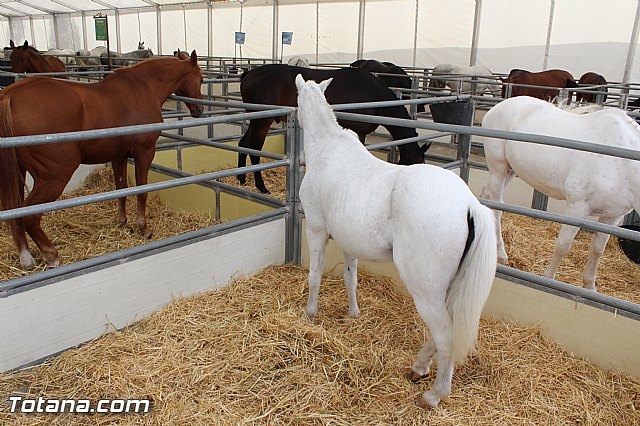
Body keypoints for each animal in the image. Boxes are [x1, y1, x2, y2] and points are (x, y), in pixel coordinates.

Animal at [0, 52, 203, 270]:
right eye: (201, 79)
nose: (199, 110)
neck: (144, 87)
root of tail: (10, 95)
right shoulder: (145, 153)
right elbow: (141, 191)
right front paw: (143, 228)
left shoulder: (118, 156)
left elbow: (121, 189)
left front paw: (122, 223)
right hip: (54, 177)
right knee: (29, 215)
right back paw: (51, 255)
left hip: (19, 173)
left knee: (15, 213)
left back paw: (26, 258)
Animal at [237, 64, 430, 193]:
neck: (375, 94)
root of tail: (248, 74)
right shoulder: (359, 131)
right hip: (262, 122)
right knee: (254, 150)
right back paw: (261, 187)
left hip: (255, 121)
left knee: (243, 144)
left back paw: (242, 179)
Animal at [295, 74, 497, 408]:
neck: (327, 150)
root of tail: (470, 205)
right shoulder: (349, 242)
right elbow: (351, 279)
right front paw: (353, 313)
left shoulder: (316, 230)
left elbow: (314, 276)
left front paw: (310, 314)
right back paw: (419, 367)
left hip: (426, 291)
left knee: (446, 336)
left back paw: (433, 395)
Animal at [480, 96, 640, 291]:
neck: (622, 163)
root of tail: (497, 107)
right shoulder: (578, 207)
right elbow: (563, 245)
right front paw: (548, 279)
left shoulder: (613, 216)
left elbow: (598, 249)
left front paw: (590, 287)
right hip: (499, 169)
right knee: (497, 209)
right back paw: (502, 254)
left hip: (509, 171)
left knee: (486, 195)